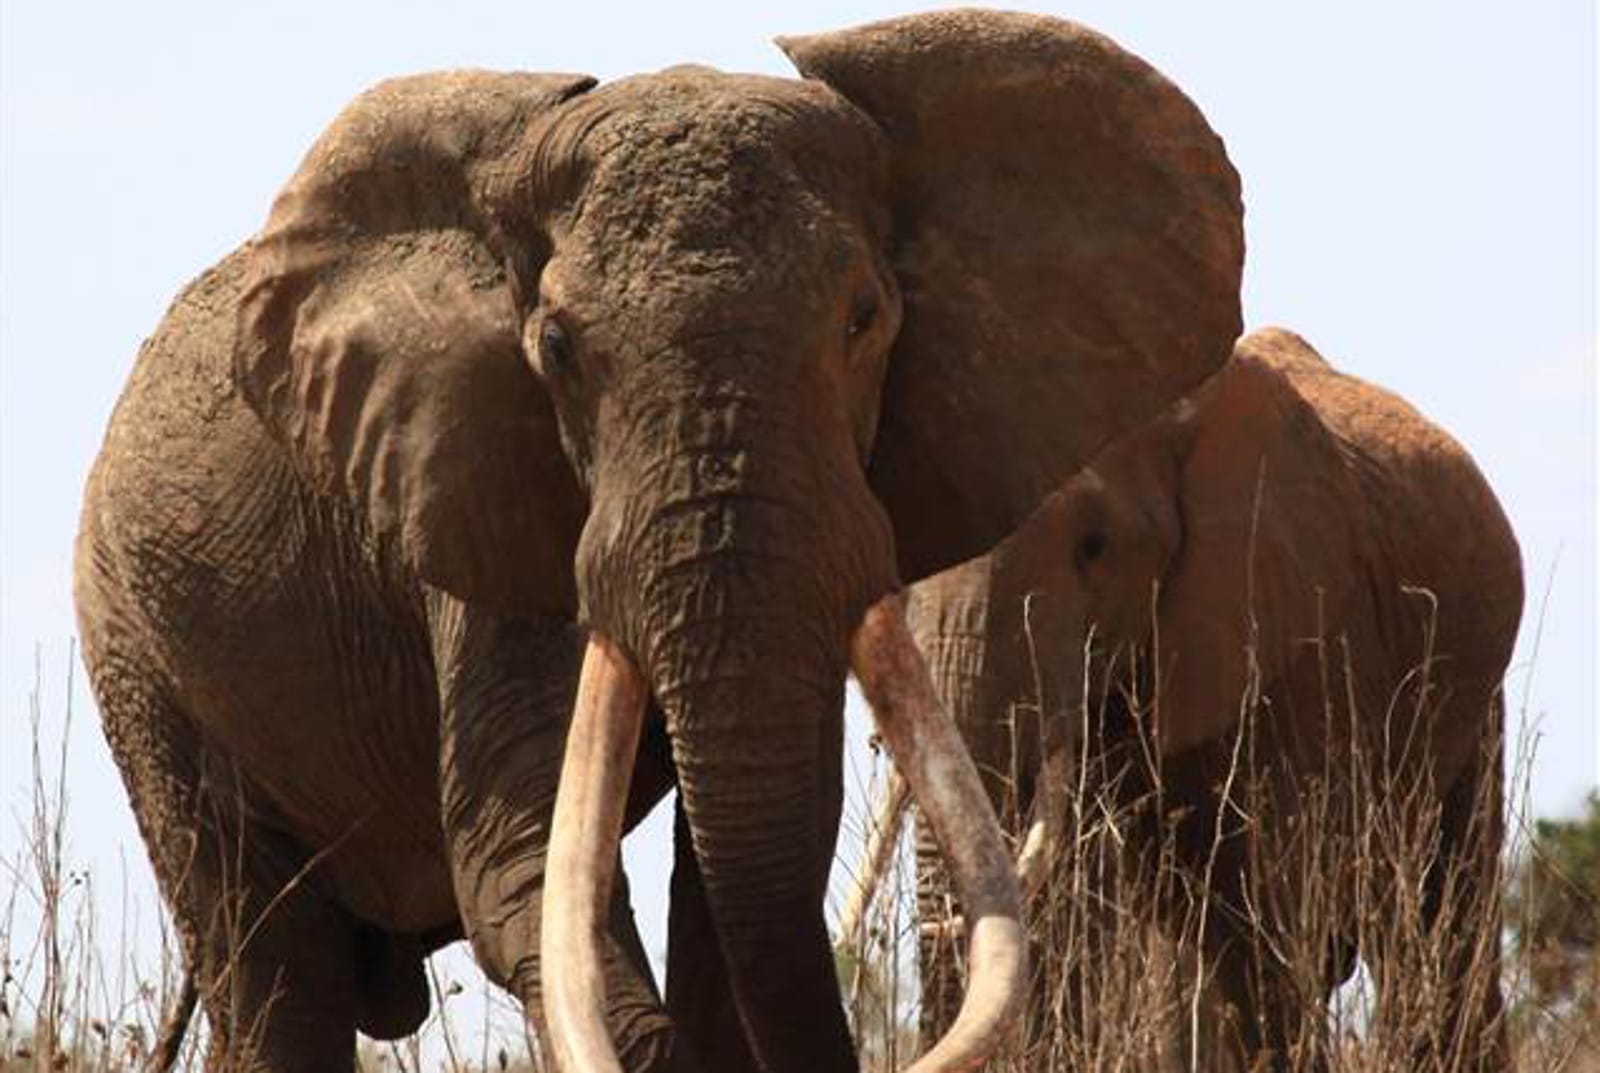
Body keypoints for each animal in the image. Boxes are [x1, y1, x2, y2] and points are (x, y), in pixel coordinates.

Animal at [71, 11, 1247, 1073]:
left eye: (864, 318)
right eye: (555, 347)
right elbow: (520, 865)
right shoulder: (479, 493)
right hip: (137, 651)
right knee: (270, 968)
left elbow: (740, 874)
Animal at [871, 326, 1522, 1070]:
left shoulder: (1297, 639)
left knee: (1444, 927)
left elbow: (1261, 925)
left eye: (1094, 548)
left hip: (1476, 703)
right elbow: (1073, 921)